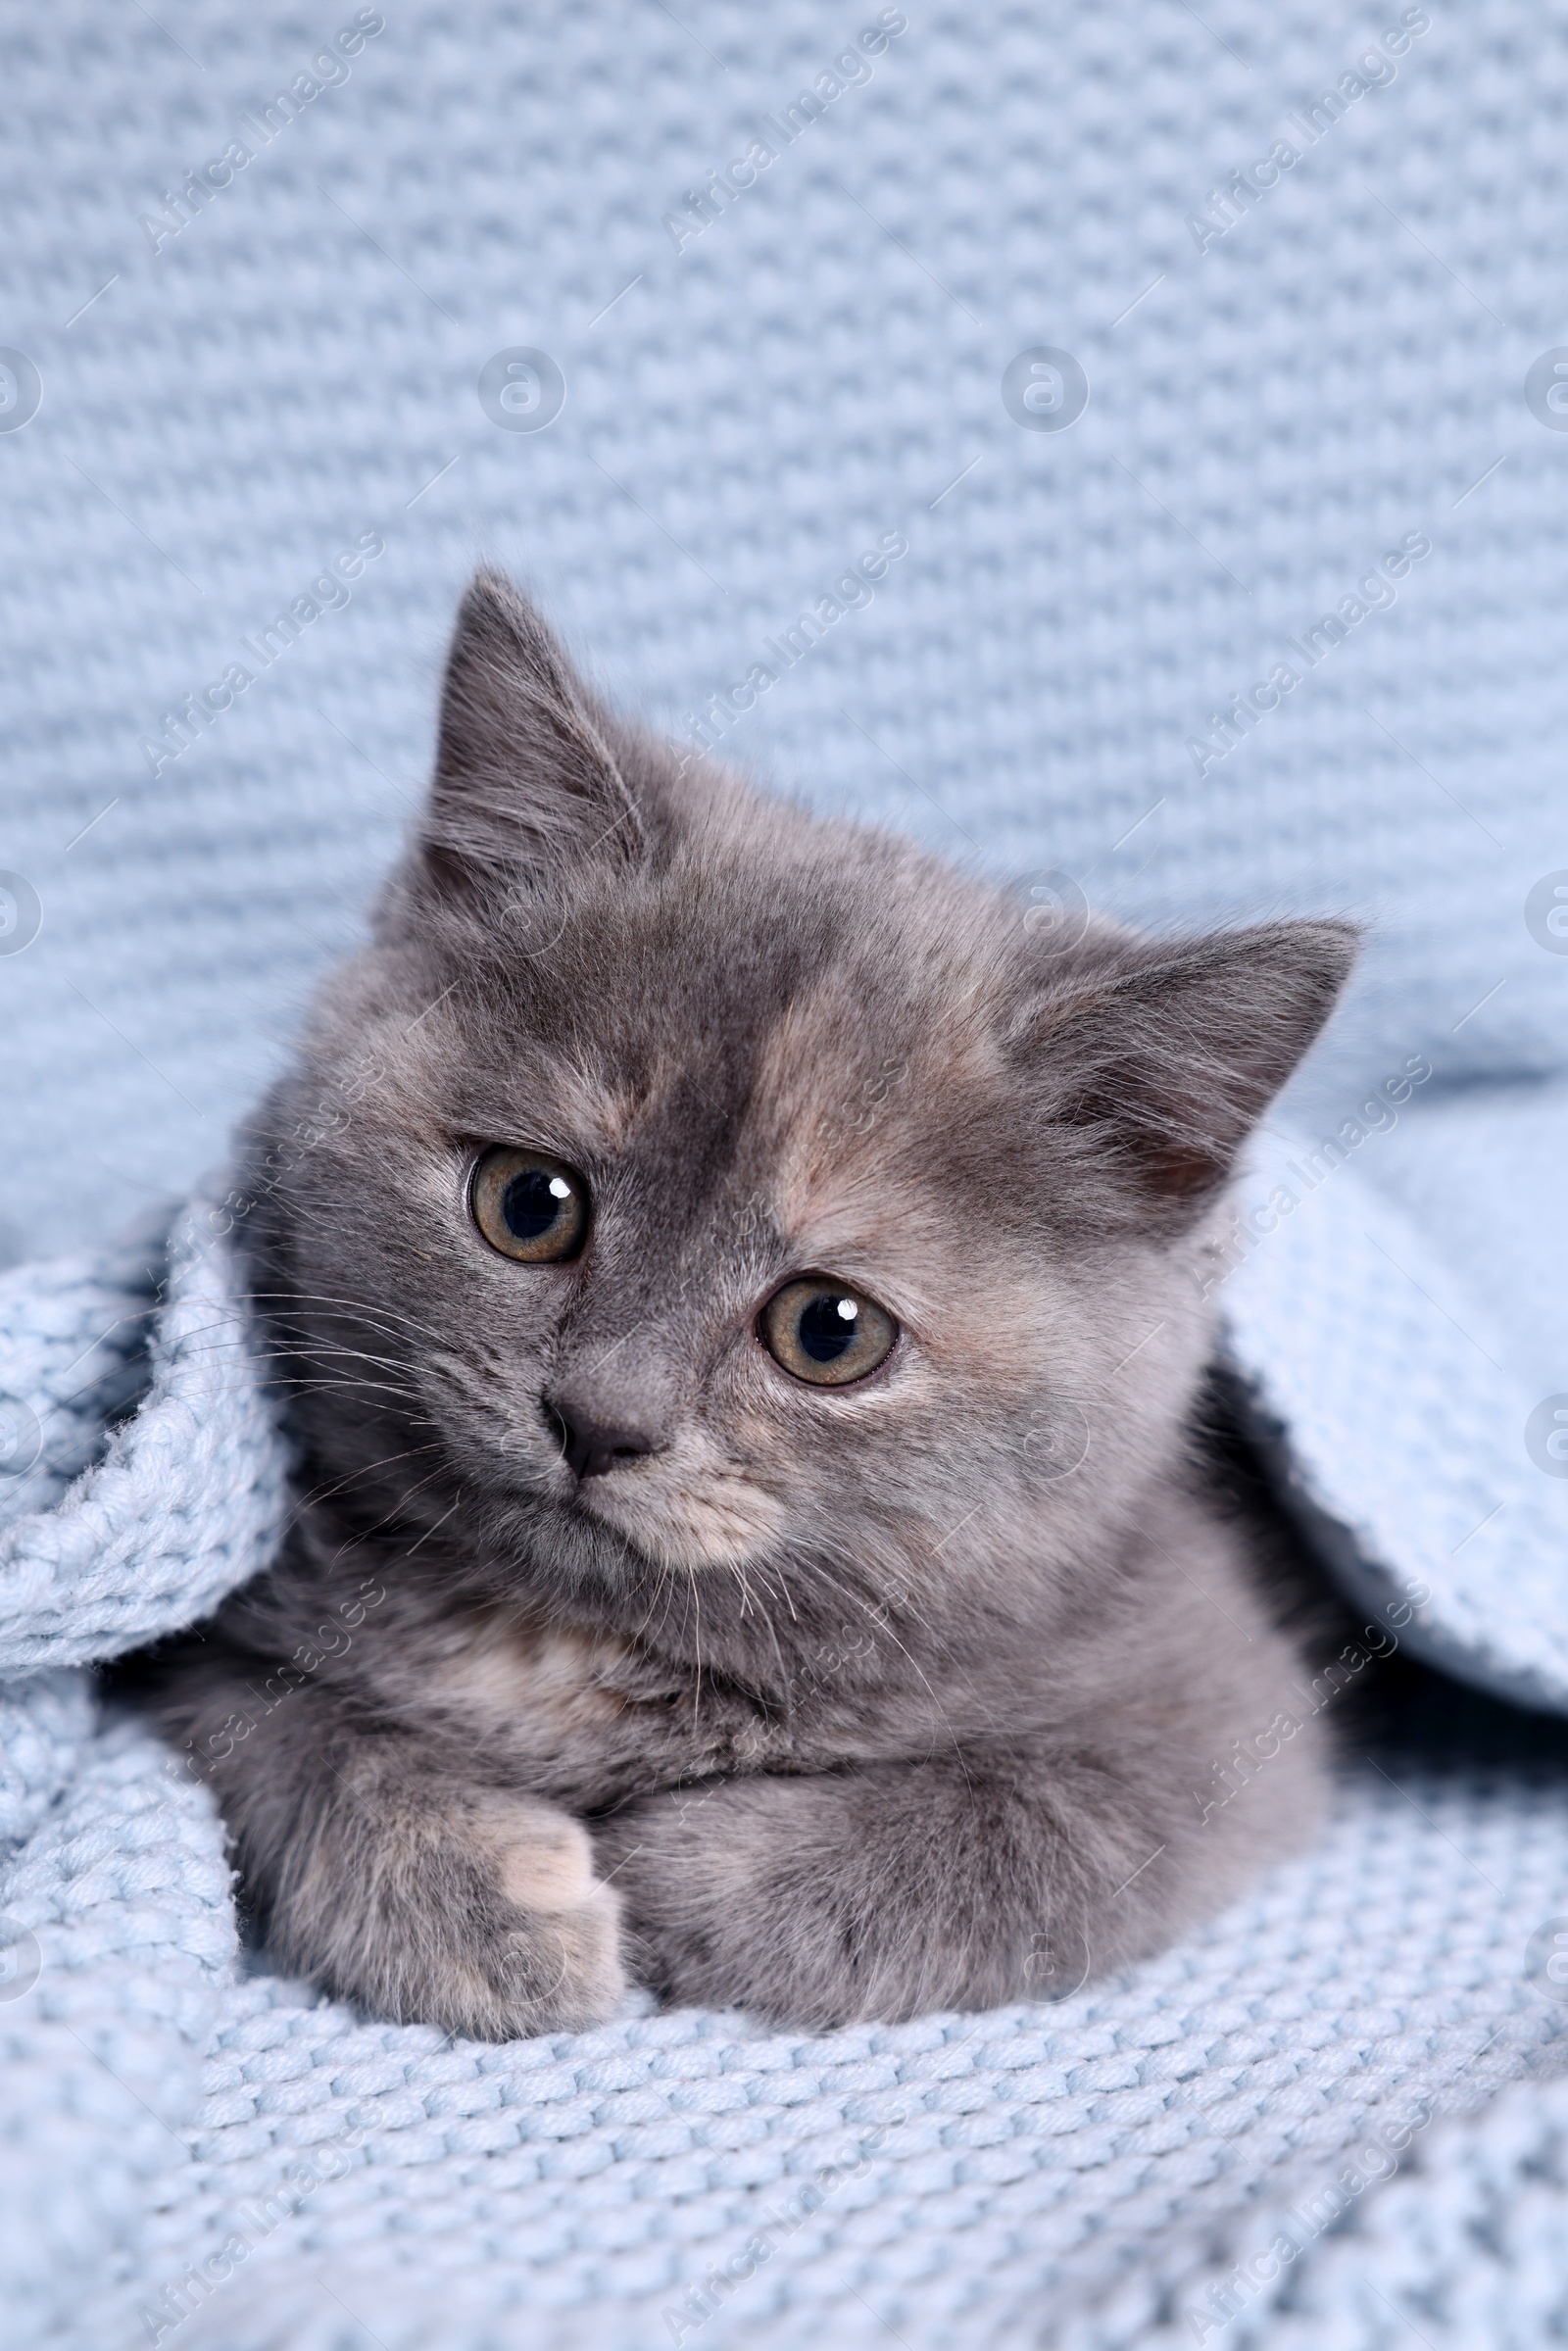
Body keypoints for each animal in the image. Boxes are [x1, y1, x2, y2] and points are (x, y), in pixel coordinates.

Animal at [128, 573, 1363, 2040]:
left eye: (829, 1329)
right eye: (527, 1203)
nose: (598, 1417)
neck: (573, 1643)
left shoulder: (1212, 1706)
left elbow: (1028, 1825)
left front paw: (678, 1871)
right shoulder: (210, 1649)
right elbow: (291, 1738)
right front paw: (475, 1900)